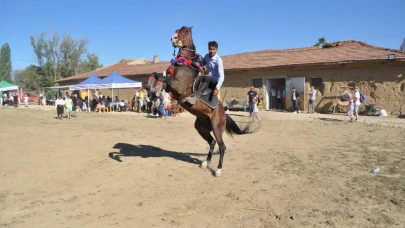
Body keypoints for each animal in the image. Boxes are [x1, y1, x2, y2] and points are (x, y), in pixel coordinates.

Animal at [156, 26, 258, 176]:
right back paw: (206, 162)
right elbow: (161, 80)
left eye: (185, 31)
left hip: (216, 128)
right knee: (212, 142)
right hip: (201, 128)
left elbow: (163, 78)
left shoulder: (178, 87)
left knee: (222, 146)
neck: (185, 63)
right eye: (177, 29)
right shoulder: (170, 87)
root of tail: (223, 113)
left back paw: (218, 169)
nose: (173, 38)